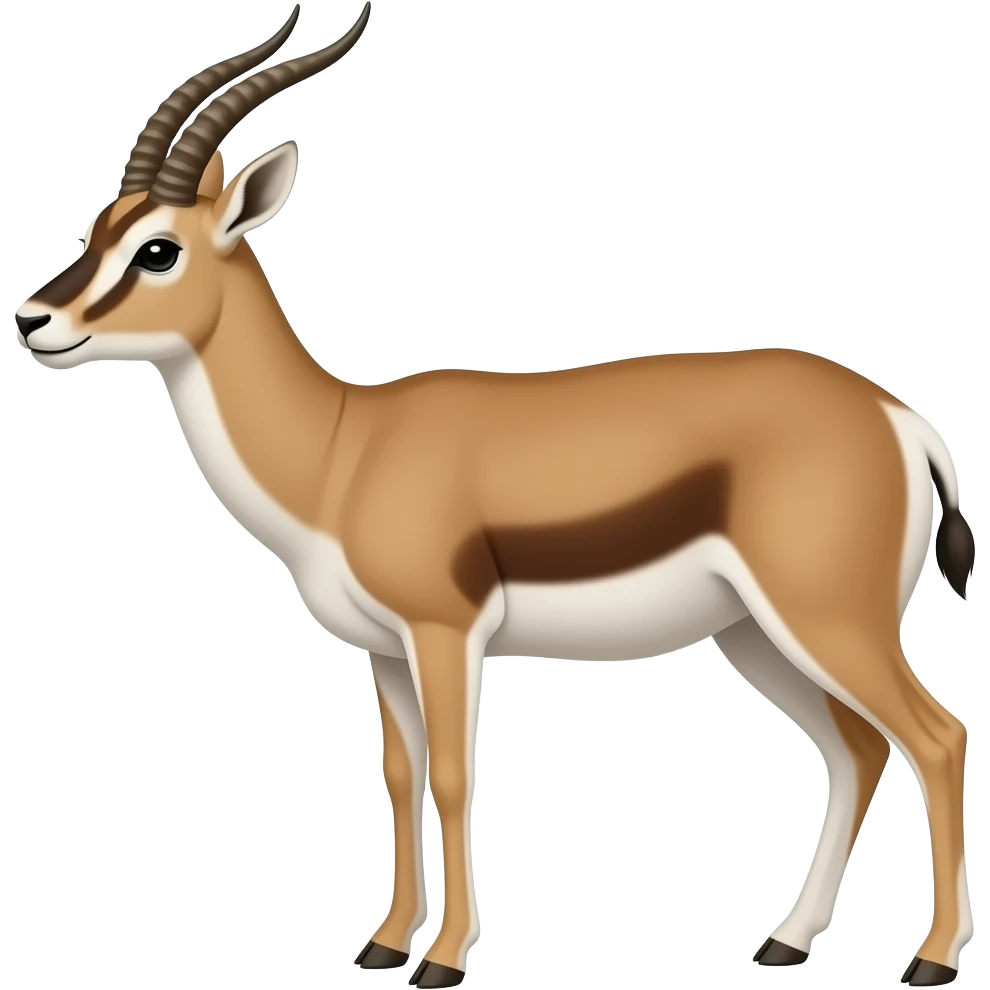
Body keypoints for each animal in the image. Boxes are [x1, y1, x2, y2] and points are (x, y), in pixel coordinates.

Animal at [11, 2, 976, 987]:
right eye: (100, 225)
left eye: (158, 249)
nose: (32, 319)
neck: (344, 448)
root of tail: (900, 417)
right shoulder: (383, 650)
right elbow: (398, 776)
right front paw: (383, 944)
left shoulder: (444, 631)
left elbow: (452, 771)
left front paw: (442, 959)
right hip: (755, 632)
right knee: (858, 749)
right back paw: (786, 941)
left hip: (829, 618)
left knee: (937, 738)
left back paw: (930, 960)